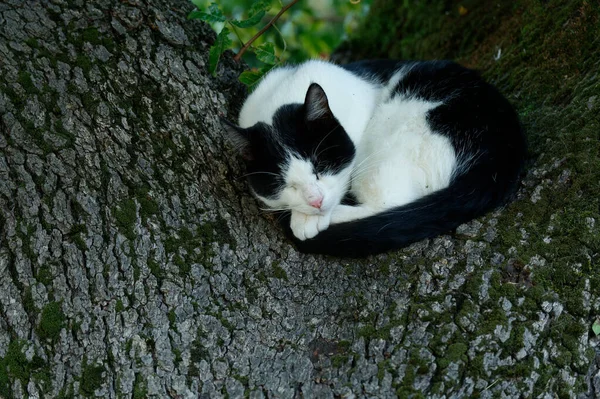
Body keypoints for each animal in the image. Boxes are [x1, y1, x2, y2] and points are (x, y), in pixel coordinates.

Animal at [220, 59, 524, 260]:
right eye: (285, 184)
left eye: (321, 165)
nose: (315, 201)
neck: (278, 98)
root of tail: (506, 147)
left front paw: (305, 218)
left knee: (390, 202)